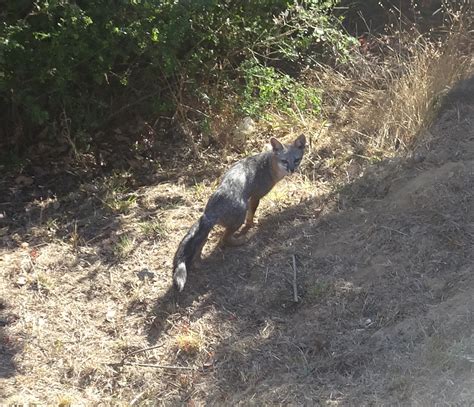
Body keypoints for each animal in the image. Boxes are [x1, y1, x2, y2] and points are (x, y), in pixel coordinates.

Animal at [174, 135, 308, 292]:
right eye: (284, 161)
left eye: (296, 160)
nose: (292, 170)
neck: (268, 165)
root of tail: (210, 210)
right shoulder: (255, 197)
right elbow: (251, 215)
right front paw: (251, 224)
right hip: (239, 217)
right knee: (224, 239)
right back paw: (242, 240)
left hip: (208, 231)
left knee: (199, 245)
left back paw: (198, 262)